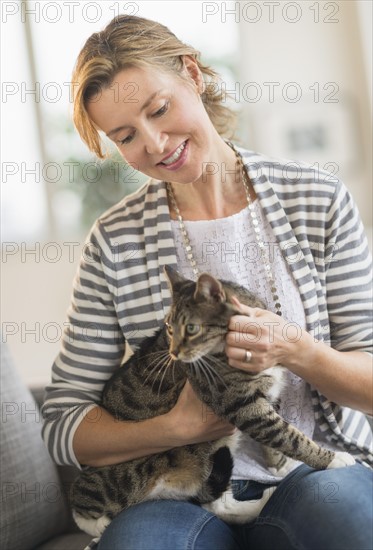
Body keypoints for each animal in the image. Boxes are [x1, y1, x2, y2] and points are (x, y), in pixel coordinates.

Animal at [70, 268, 354, 540]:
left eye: (191, 328)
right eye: (169, 328)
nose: (174, 353)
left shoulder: (268, 393)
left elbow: (276, 438)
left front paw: (279, 466)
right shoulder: (243, 405)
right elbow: (287, 435)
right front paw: (332, 459)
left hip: (213, 452)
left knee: (218, 504)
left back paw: (263, 500)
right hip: (131, 471)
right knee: (82, 499)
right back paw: (97, 525)